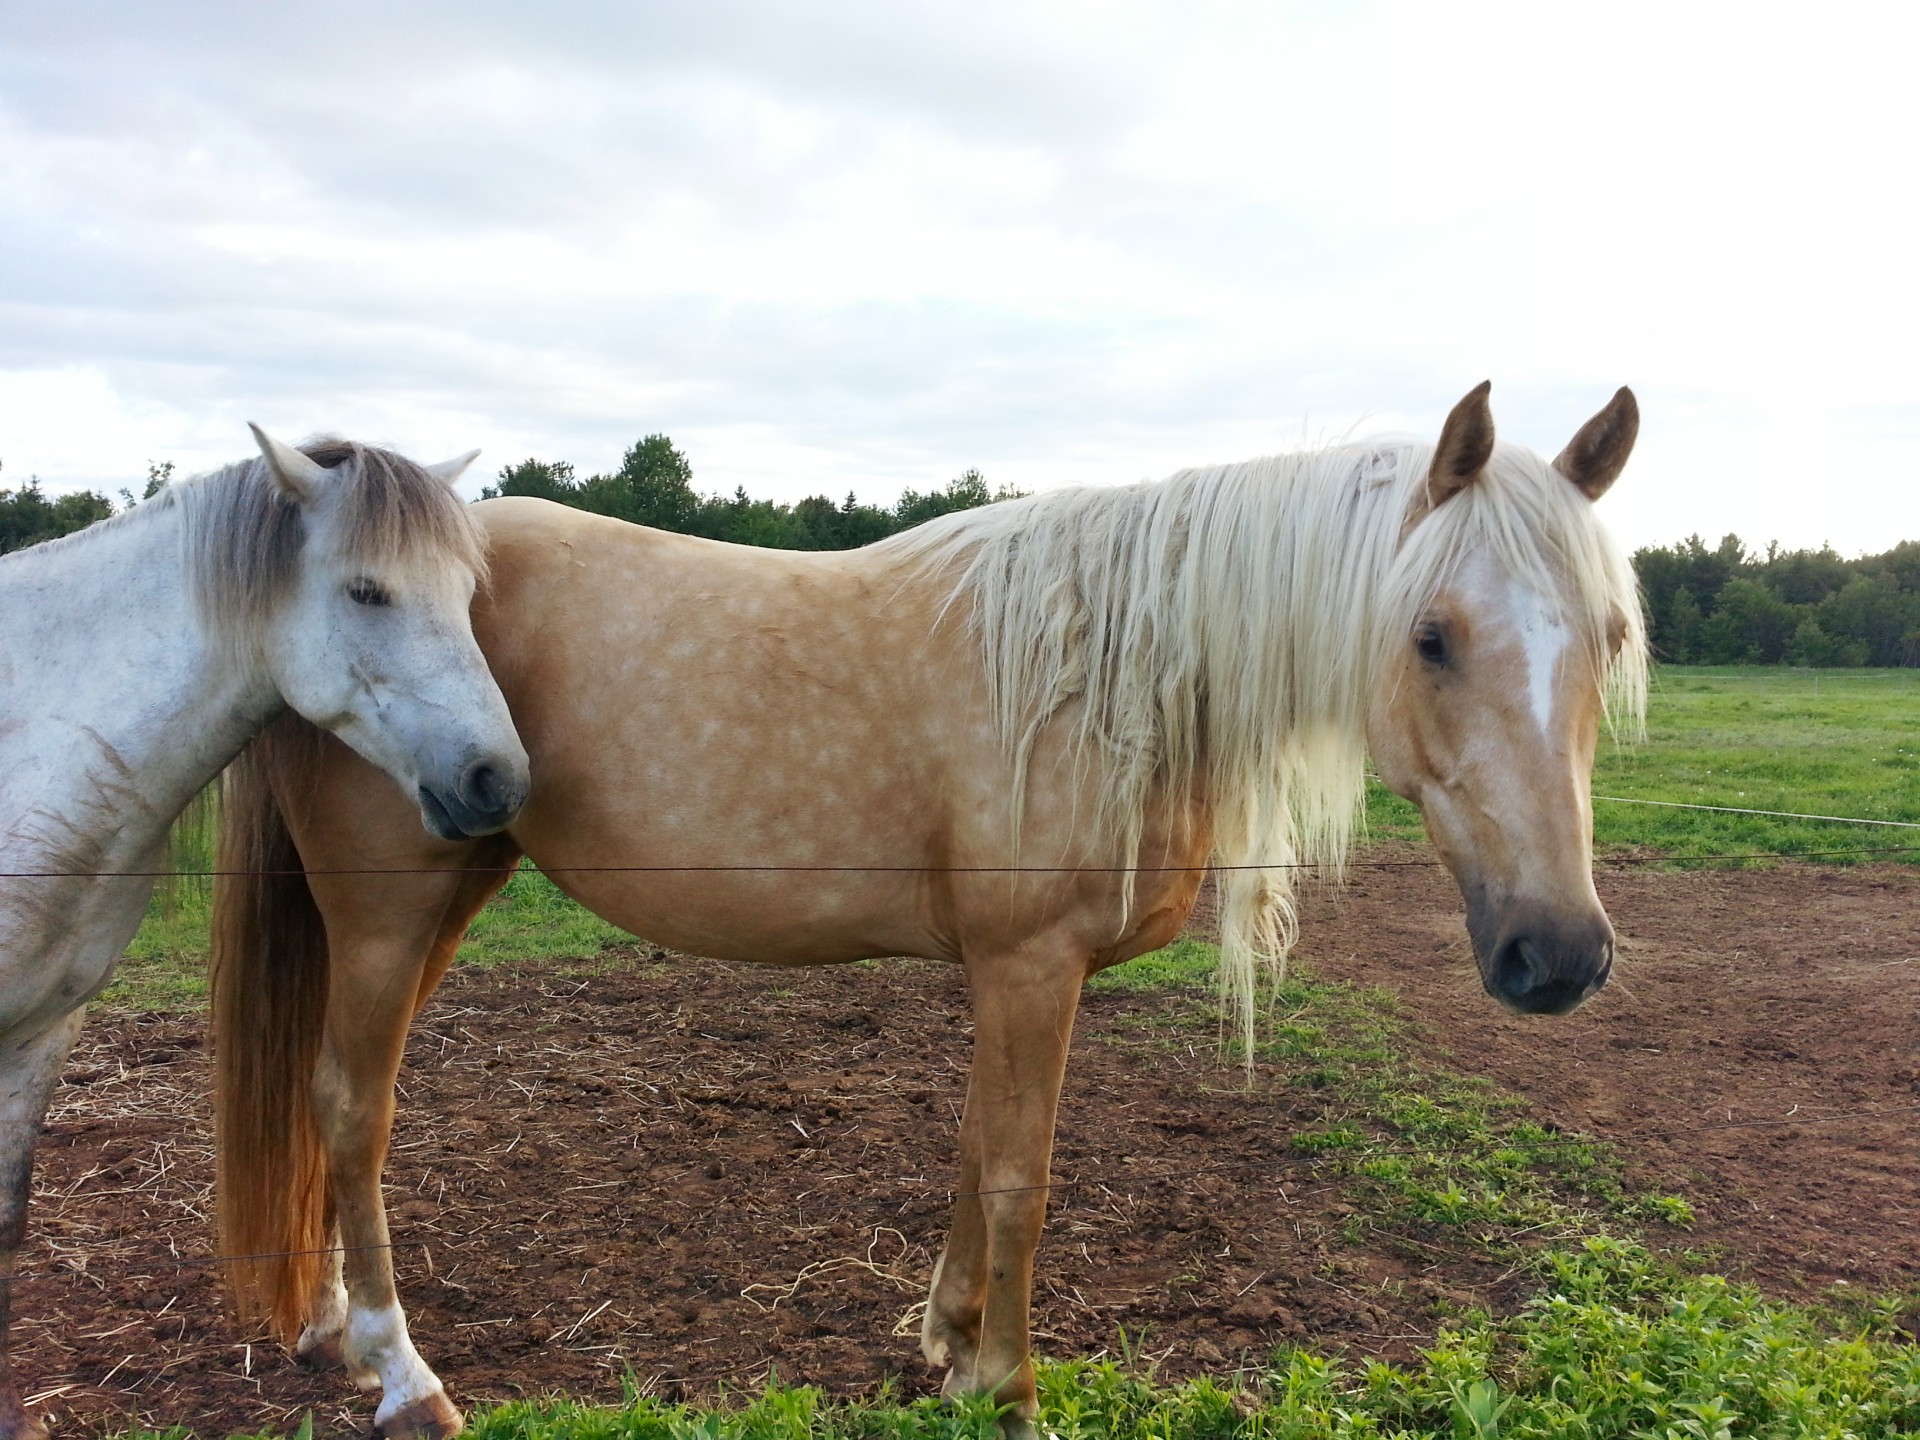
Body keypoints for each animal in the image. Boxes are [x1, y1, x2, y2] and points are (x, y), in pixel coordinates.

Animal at [214, 385, 1651, 1440]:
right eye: (1430, 635)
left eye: (1612, 633)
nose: (1557, 956)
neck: (1112, 674)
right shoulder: (1031, 965)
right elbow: (1019, 1175)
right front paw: (1009, 1391)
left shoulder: (1012, 977)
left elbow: (972, 1150)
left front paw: (949, 1344)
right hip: (390, 913)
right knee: (352, 1105)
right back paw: (401, 1375)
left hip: (451, 896)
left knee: (328, 1100)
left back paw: (333, 1328)